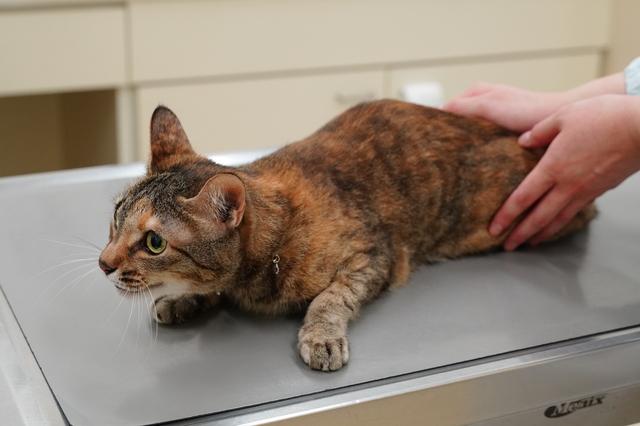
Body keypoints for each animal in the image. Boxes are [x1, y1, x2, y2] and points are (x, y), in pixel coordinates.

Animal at [99, 100, 596, 370]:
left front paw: (320, 337)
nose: (103, 263)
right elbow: (210, 290)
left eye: (154, 243)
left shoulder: (373, 257)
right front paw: (183, 300)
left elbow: (330, 299)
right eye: (116, 216)